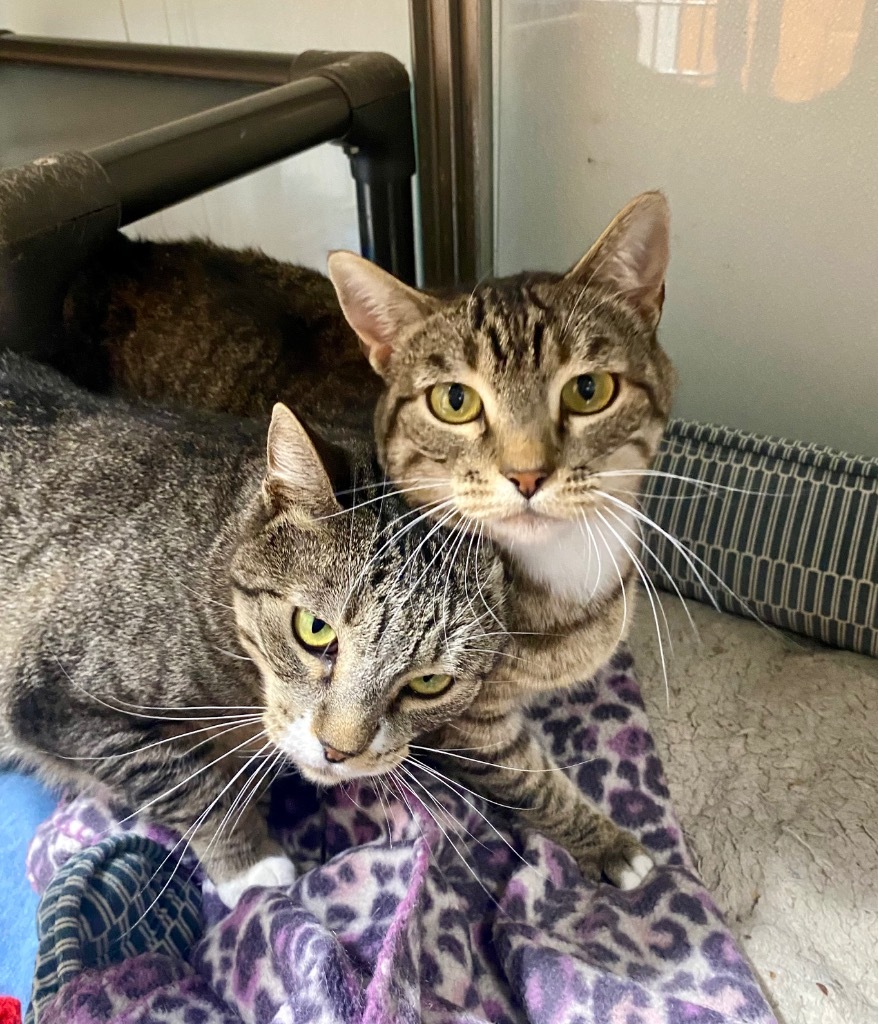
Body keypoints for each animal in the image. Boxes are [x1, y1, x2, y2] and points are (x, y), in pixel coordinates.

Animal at [0, 352, 504, 905]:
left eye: (430, 682)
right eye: (314, 629)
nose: (339, 751)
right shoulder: (54, 696)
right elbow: (185, 781)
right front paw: (250, 863)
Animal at [54, 192, 672, 888]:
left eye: (588, 390)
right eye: (454, 401)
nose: (527, 474)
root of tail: (118, 250)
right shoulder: (470, 730)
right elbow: (529, 779)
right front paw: (608, 844)